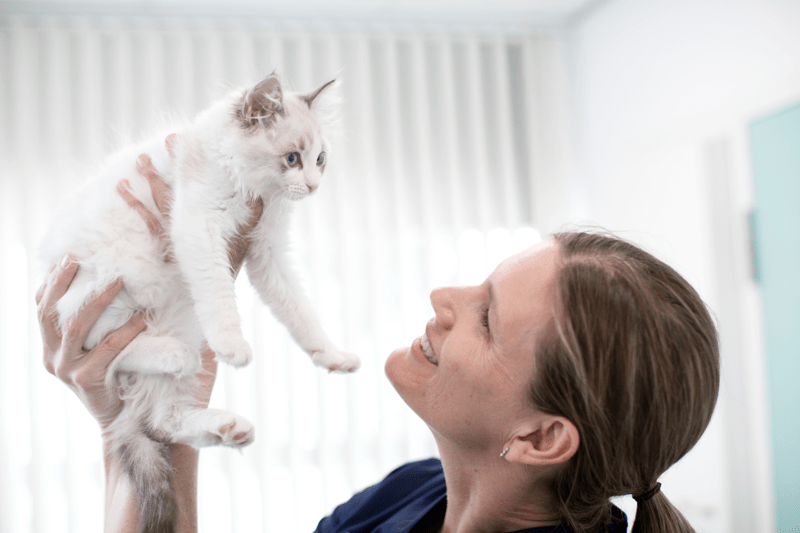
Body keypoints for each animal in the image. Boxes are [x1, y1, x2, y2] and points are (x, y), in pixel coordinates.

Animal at [40, 74, 360, 532]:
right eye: (292, 159)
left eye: (320, 159)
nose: (314, 186)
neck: (251, 187)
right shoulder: (199, 227)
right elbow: (218, 293)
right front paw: (233, 345)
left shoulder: (268, 251)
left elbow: (300, 312)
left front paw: (332, 356)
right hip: (116, 282)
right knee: (103, 346)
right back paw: (173, 355)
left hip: (178, 327)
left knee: (162, 421)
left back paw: (229, 426)